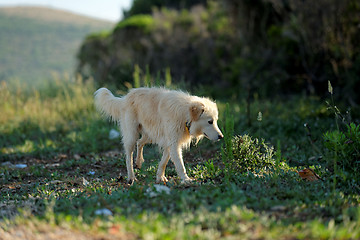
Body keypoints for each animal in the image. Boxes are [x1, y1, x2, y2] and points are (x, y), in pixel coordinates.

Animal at [93, 87, 222, 183]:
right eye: (210, 121)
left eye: (216, 120)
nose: (221, 137)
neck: (185, 115)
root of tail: (125, 98)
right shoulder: (173, 144)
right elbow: (180, 165)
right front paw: (186, 180)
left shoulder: (170, 142)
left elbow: (163, 162)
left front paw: (160, 177)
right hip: (132, 135)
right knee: (128, 156)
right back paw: (131, 177)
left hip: (150, 135)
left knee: (140, 143)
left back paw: (139, 162)